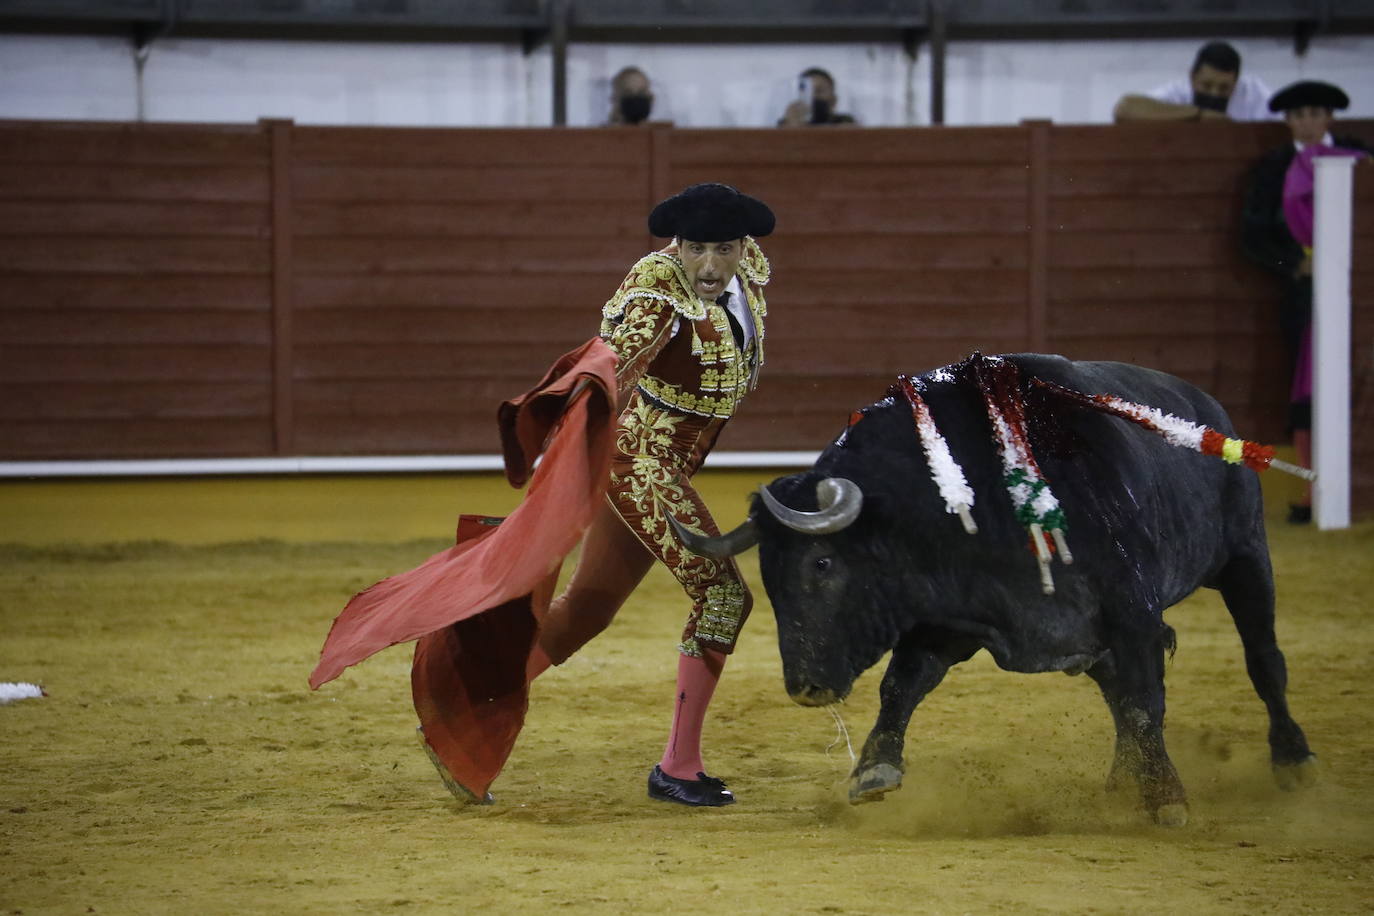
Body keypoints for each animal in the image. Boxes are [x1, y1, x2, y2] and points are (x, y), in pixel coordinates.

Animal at [676, 354, 1319, 829]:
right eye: (768, 575)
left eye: (823, 563)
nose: (805, 688)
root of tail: (1211, 411)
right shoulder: (948, 618)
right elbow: (901, 686)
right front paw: (873, 772)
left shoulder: (1133, 614)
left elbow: (1145, 702)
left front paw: (1166, 800)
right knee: (1118, 693)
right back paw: (1120, 783)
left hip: (1245, 556)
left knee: (1264, 659)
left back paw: (1292, 761)